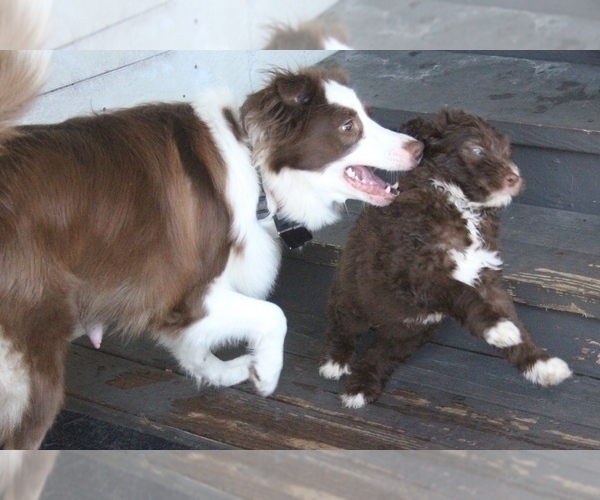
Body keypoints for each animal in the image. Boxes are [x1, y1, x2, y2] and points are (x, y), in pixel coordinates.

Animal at [0, 51, 422, 450]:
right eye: (348, 127)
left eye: (369, 115)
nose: (419, 149)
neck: (256, 171)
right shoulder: (187, 291)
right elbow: (274, 315)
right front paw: (266, 373)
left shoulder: (173, 307)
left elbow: (194, 348)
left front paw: (228, 373)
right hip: (32, 377)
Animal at [318, 108, 572, 406]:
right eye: (476, 149)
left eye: (506, 152)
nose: (514, 178)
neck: (458, 202)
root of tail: (383, 324)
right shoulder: (413, 271)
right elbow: (460, 291)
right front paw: (499, 328)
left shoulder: (486, 279)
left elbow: (514, 323)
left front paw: (542, 365)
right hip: (350, 299)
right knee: (343, 329)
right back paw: (335, 361)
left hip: (413, 333)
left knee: (381, 355)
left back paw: (361, 386)